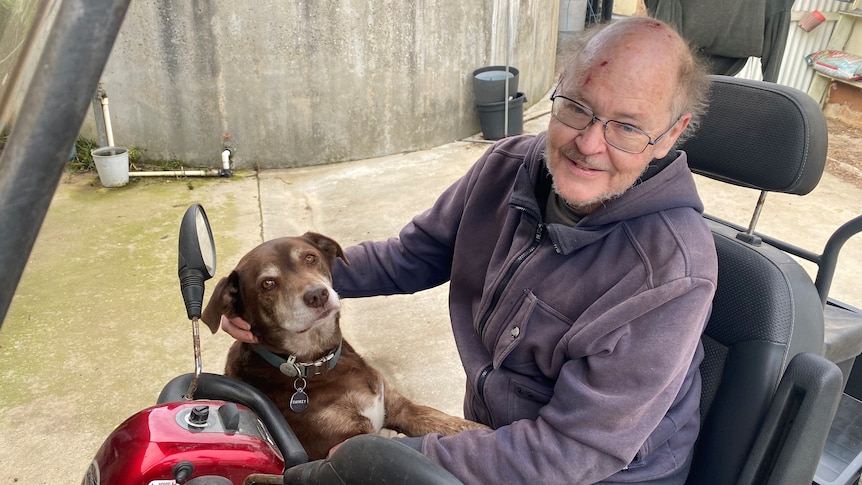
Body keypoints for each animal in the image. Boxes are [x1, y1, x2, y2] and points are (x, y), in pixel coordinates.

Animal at [201, 233, 486, 460]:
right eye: (267, 283)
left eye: (310, 258)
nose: (318, 295)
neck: (316, 362)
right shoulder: (351, 440)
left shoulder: (400, 407)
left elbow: (464, 427)